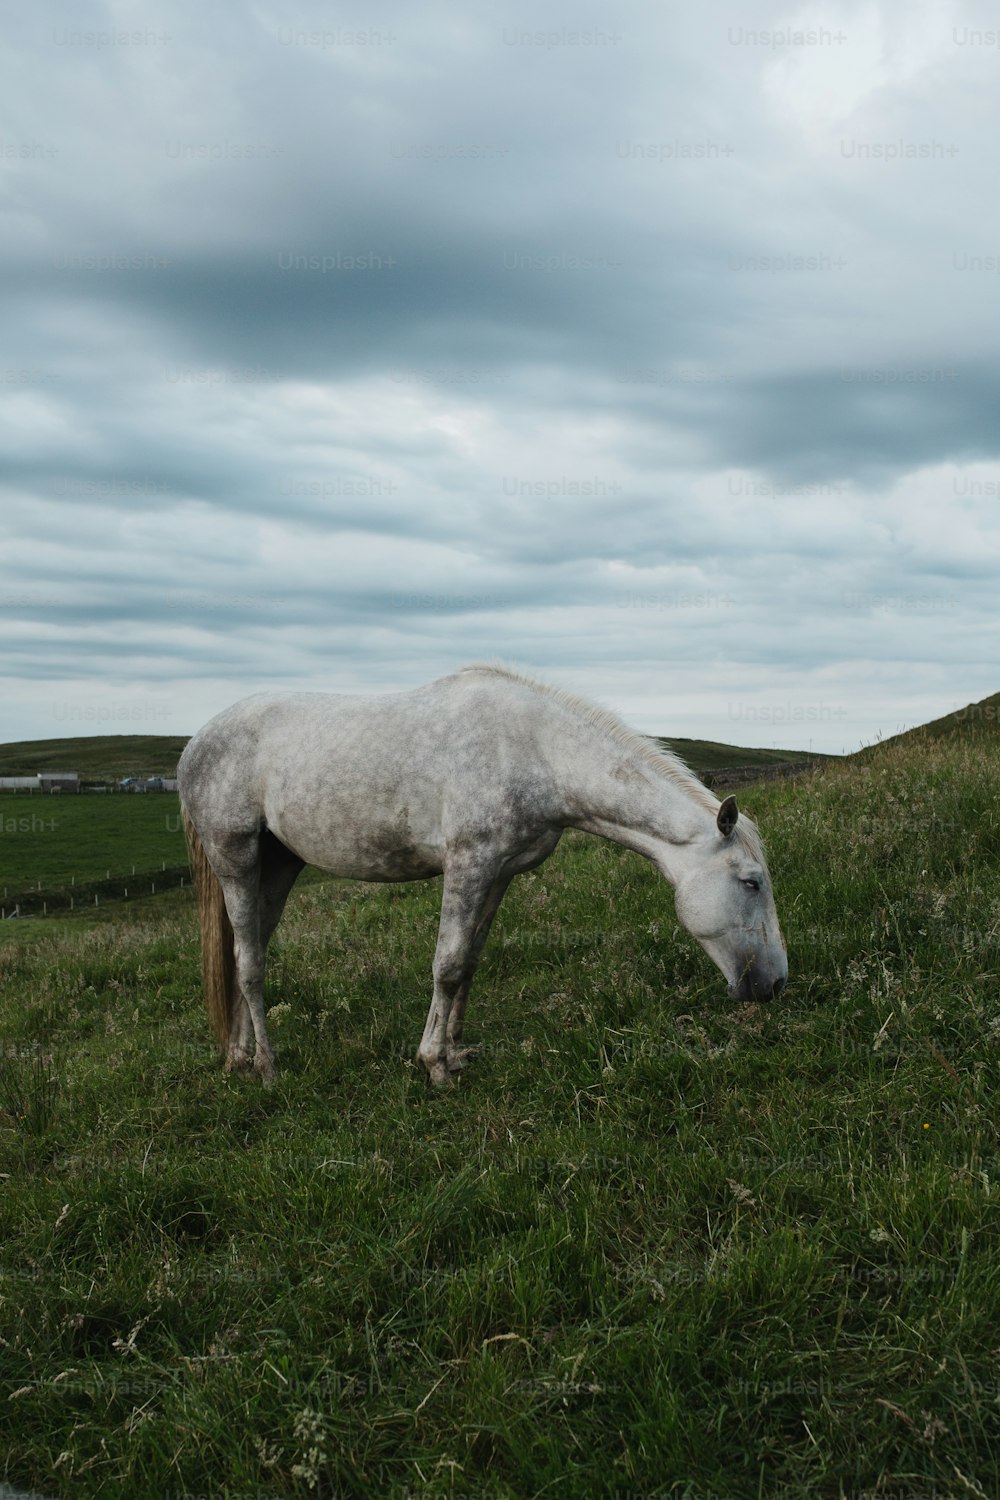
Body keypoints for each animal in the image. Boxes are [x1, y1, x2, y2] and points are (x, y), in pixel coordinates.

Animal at [179, 663, 791, 1086]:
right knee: (249, 963)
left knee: (247, 950)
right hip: (236, 859)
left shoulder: (498, 873)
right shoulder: (467, 864)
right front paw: (433, 1065)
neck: (537, 752)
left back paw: (238, 1057)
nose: (775, 984)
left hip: (279, 866)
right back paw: (267, 1068)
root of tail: (194, 744)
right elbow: (447, 964)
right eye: (751, 882)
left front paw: (454, 1051)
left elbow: (469, 960)